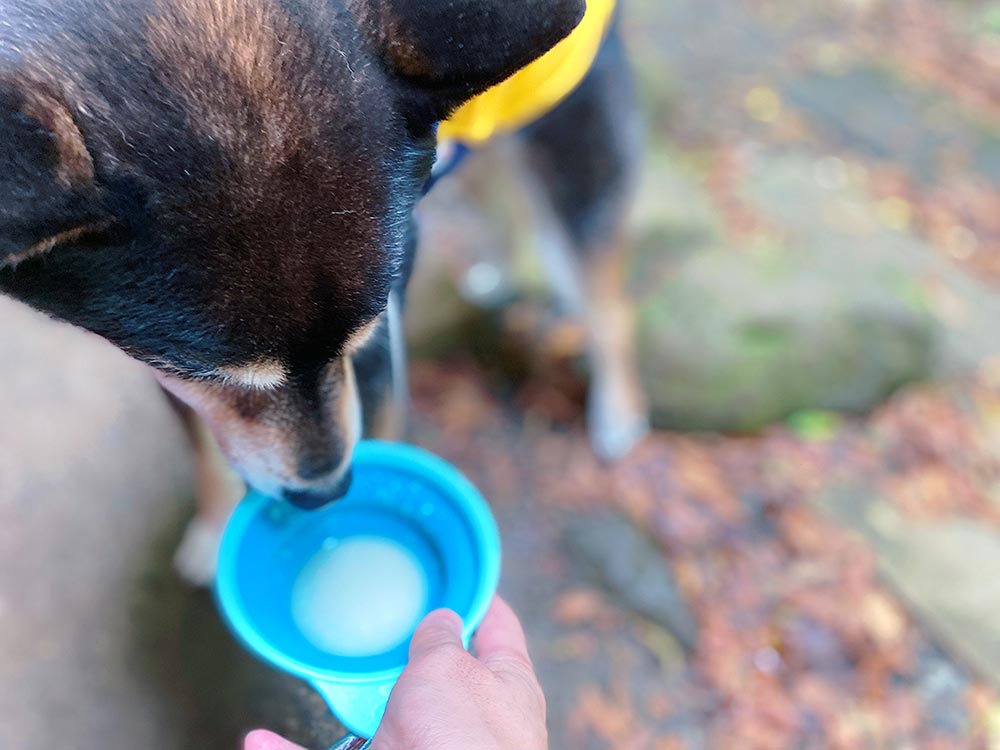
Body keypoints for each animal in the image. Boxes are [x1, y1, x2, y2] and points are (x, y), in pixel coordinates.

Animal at [0, 0, 648, 588]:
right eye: (220, 380)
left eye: (356, 347)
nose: (327, 493)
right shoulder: (159, 357)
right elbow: (202, 445)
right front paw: (214, 529)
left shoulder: (382, 339)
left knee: (608, 304)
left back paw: (618, 411)